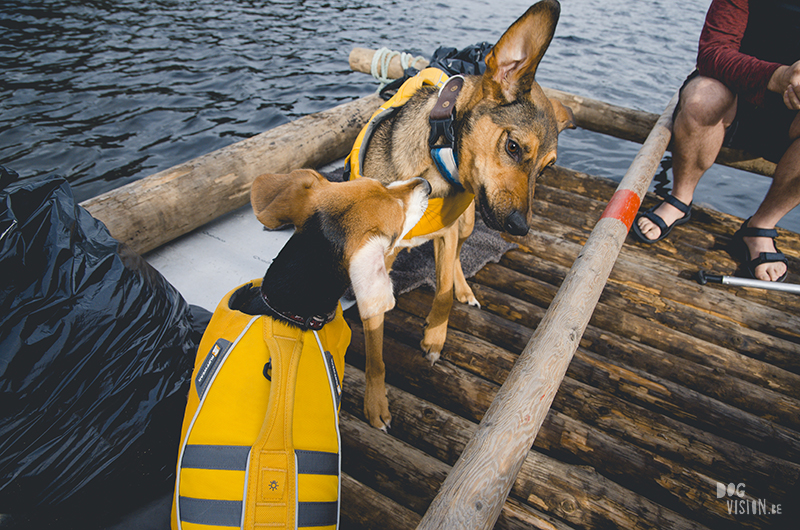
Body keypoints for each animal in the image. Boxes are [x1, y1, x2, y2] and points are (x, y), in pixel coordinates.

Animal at [354, 1, 572, 428]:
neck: (437, 163)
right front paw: (374, 403)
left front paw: (434, 337)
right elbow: (373, 349)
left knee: (455, 262)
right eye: (514, 146)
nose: (521, 228)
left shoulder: (448, 230)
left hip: (469, 221)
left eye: (548, 169)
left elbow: (441, 292)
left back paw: (464, 288)